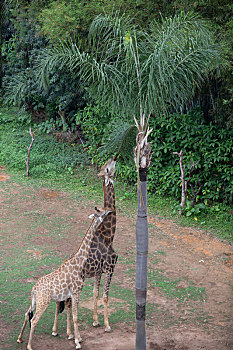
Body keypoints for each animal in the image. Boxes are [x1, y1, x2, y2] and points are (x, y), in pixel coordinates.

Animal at [16, 209, 111, 348]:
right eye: (102, 213)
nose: (110, 212)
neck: (78, 262)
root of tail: (34, 289)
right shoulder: (76, 292)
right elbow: (75, 317)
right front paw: (77, 342)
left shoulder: (70, 294)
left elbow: (71, 314)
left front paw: (76, 337)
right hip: (43, 302)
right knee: (33, 320)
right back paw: (29, 346)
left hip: (35, 301)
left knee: (26, 314)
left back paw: (20, 339)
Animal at [53, 158, 118, 336]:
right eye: (107, 167)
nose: (114, 157)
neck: (109, 235)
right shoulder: (110, 268)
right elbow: (105, 297)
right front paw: (107, 325)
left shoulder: (98, 271)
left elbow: (96, 294)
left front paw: (96, 321)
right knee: (66, 303)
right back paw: (64, 332)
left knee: (61, 302)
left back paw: (59, 330)